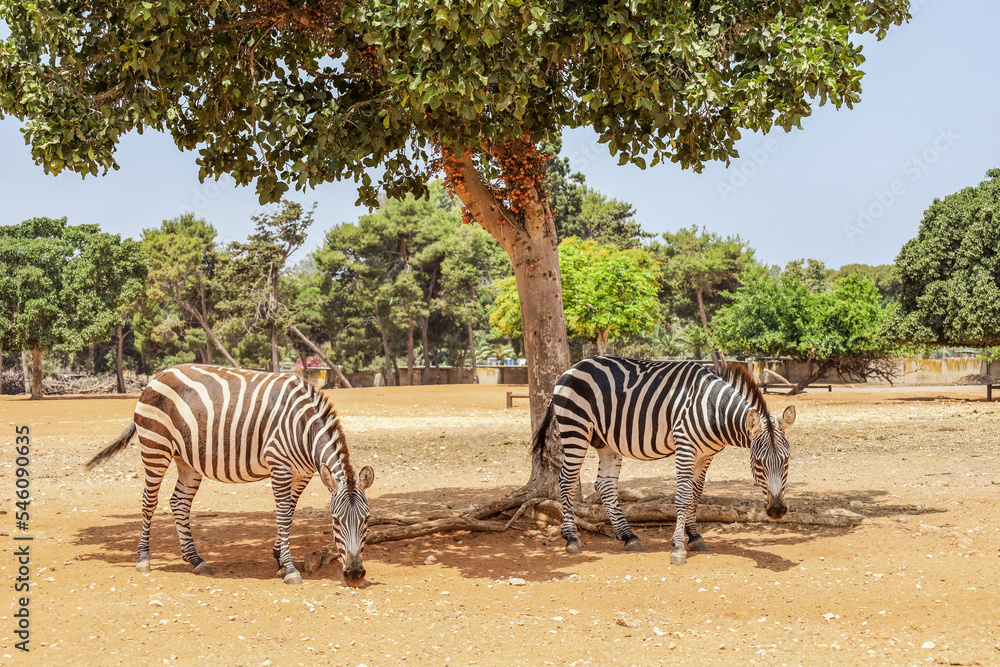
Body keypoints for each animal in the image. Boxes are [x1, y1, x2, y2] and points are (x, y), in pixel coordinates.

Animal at [85, 362, 376, 588]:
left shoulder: (302, 473)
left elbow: (291, 514)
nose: (354, 575)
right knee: (149, 502)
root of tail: (158, 376)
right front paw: (290, 568)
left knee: (179, 503)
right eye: (335, 521)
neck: (303, 428)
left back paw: (196, 560)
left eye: (367, 520)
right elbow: (283, 515)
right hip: (155, 446)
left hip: (187, 459)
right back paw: (144, 558)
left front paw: (279, 559)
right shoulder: (279, 465)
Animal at [532, 358, 796, 568]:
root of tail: (572, 367)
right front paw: (678, 548)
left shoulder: (705, 455)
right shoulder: (685, 447)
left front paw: (695, 536)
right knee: (566, 481)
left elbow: (695, 495)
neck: (713, 409)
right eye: (759, 462)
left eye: (786, 461)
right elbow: (683, 496)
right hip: (575, 428)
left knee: (605, 485)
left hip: (606, 440)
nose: (777, 510)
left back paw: (628, 536)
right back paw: (572, 539)